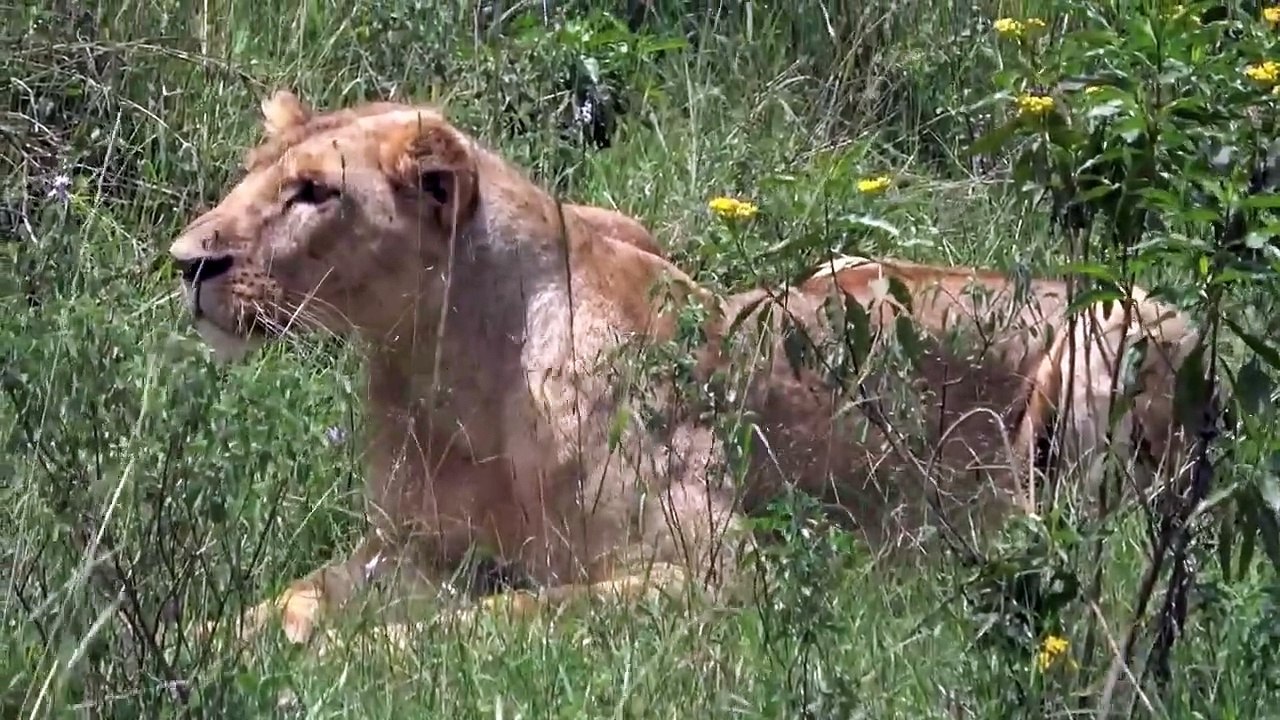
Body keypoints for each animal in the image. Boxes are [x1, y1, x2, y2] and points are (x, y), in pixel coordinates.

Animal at [168, 90, 1204, 645]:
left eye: (313, 193)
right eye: (253, 172)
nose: (186, 262)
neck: (437, 371)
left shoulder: (729, 571)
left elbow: (510, 618)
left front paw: (363, 654)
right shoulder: (416, 546)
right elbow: (295, 596)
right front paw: (206, 647)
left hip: (1121, 331)